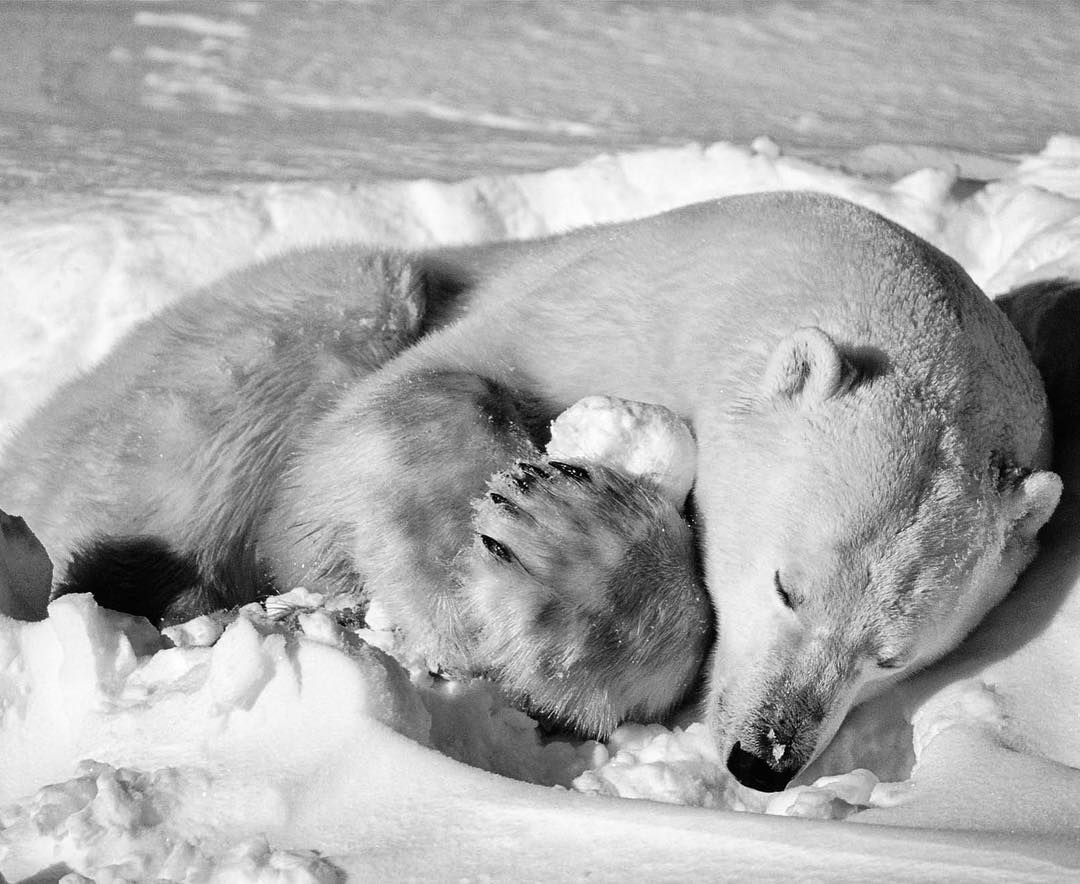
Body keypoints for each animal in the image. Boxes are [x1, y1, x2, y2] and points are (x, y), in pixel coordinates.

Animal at [0, 191, 1060, 793]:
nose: (763, 760)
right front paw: (525, 566)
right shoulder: (608, 302)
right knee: (339, 304)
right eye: (785, 586)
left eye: (892, 655)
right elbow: (389, 416)